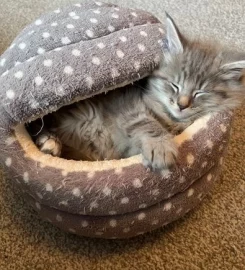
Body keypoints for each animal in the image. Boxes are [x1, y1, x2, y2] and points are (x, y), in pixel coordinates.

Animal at [29, 13, 245, 170]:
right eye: (174, 85)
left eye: (200, 92)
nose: (182, 105)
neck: (170, 121)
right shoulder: (126, 104)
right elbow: (146, 123)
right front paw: (161, 147)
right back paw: (49, 142)